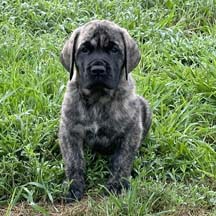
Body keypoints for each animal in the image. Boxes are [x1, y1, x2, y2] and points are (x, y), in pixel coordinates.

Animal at [58, 20, 151, 202]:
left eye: (114, 50)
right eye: (84, 49)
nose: (98, 69)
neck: (98, 98)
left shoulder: (131, 131)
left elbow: (122, 160)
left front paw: (117, 186)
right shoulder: (69, 131)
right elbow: (74, 161)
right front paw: (74, 187)